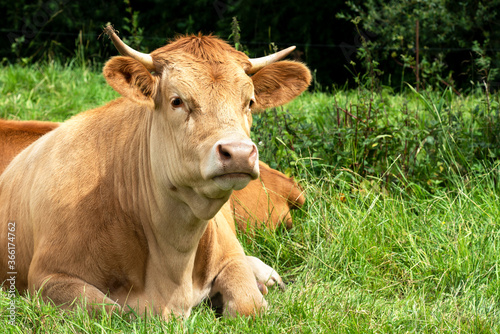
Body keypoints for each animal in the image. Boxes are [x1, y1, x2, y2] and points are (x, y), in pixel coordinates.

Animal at [0, 25, 310, 318]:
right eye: (177, 101)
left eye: (250, 102)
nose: (239, 153)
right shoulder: (48, 277)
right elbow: (116, 313)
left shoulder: (229, 255)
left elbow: (249, 306)